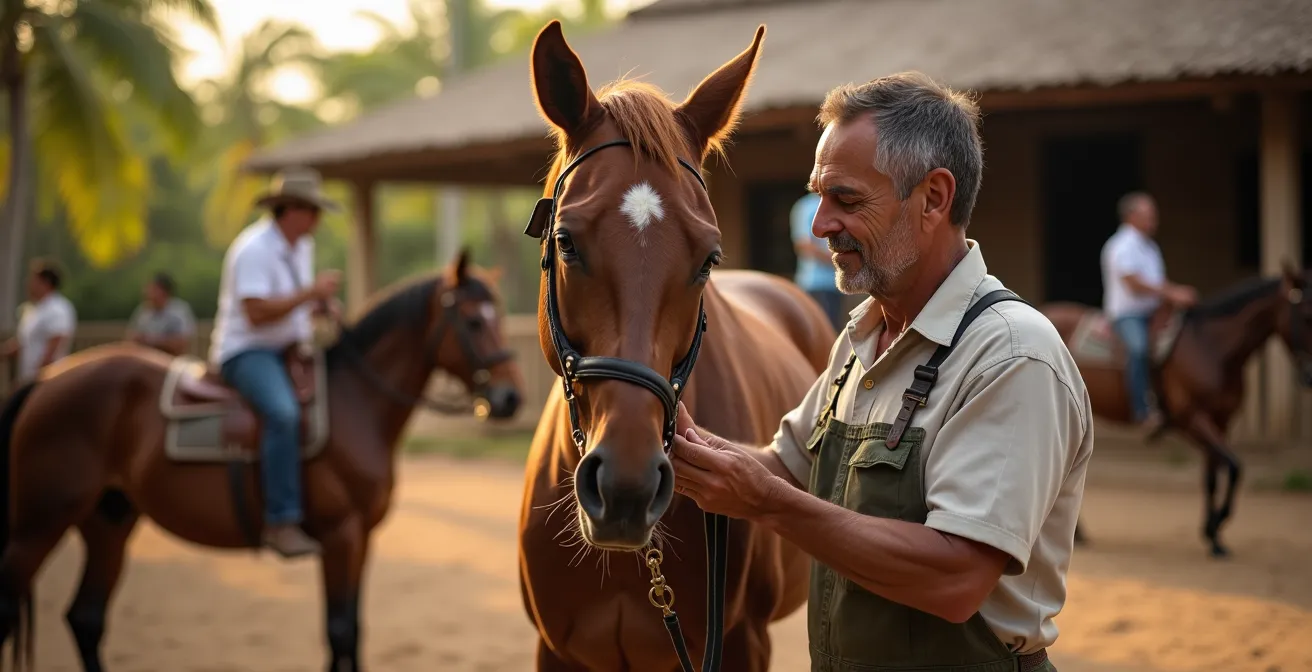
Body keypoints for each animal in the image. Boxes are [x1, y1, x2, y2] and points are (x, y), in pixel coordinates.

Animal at [0, 249, 524, 672]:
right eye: (474, 321)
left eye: (498, 315)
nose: (511, 398)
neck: (356, 402)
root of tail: (46, 381)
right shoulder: (340, 536)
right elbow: (339, 631)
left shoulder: (363, 539)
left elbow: (353, 630)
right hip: (38, 524)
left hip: (108, 520)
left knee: (86, 618)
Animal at [1040, 264, 1312, 558]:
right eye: (1307, 315)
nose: (1309, 377)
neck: (1210, 346)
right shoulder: (1192, 420)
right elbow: (1234, 466)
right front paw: (1218, 522)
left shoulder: (1221, 421)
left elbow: (1213, 476)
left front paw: (1213, 537)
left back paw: (1077, 533)